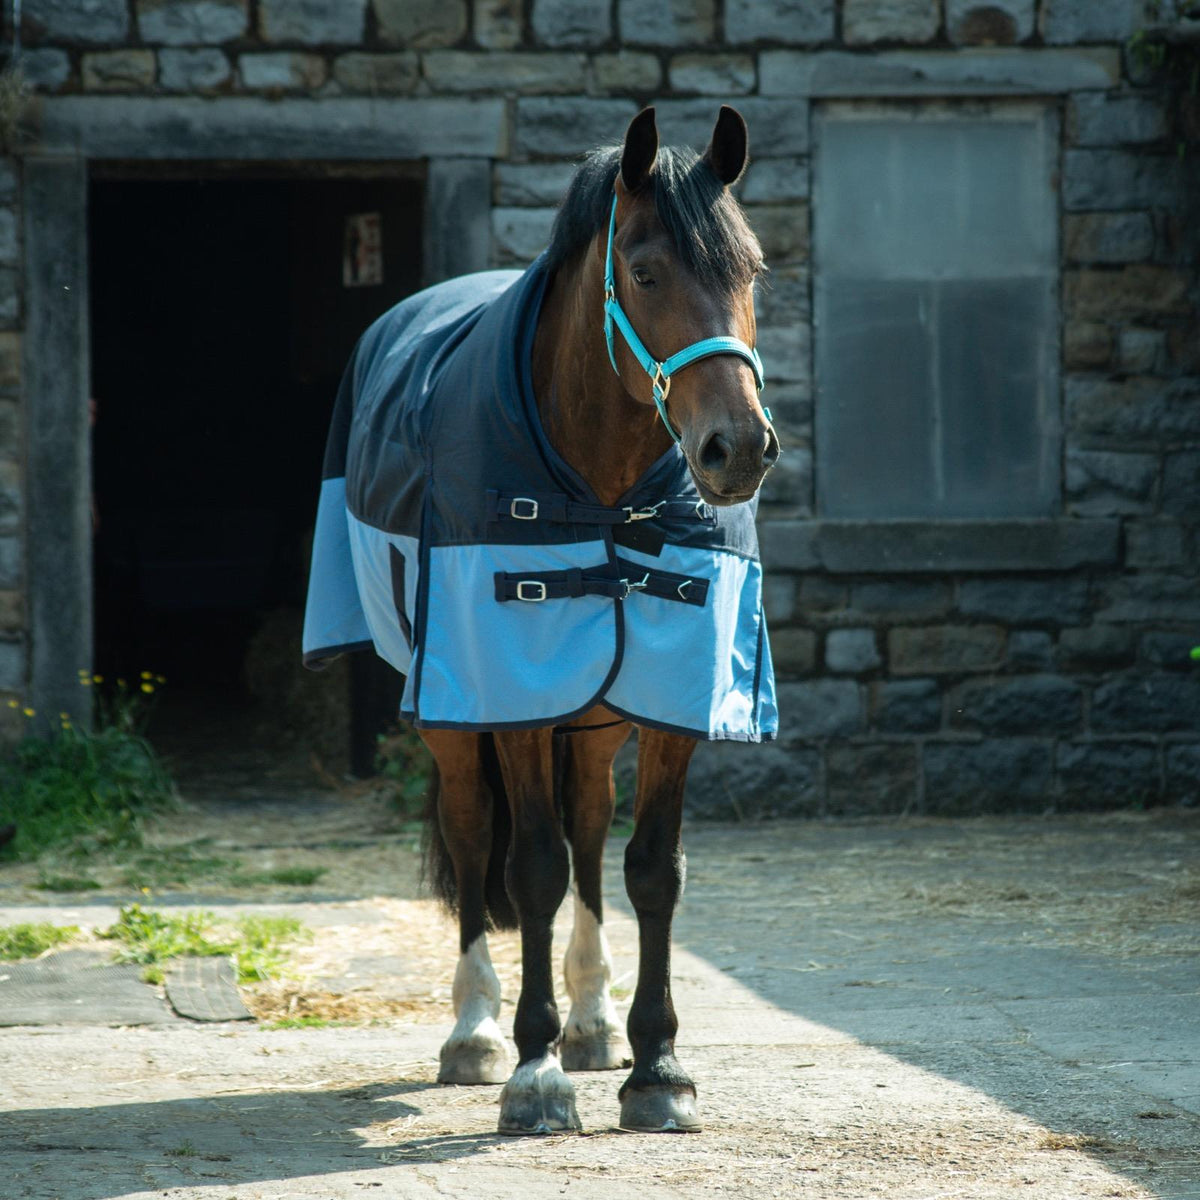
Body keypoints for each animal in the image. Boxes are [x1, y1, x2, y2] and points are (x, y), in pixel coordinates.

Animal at [303, 105, 779, 1134]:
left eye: (752, 270)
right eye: (643, 270)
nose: (737, 449)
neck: (599, 486)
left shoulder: (671, 703)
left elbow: (650, 869)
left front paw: (658, 1067)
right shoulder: (512, 694)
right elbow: (527, 870)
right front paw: (534, 1073)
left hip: (592, 721)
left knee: (590, 833)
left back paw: (593, 1024)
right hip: (455, 719)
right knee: (478, 834)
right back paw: (477, 1032)